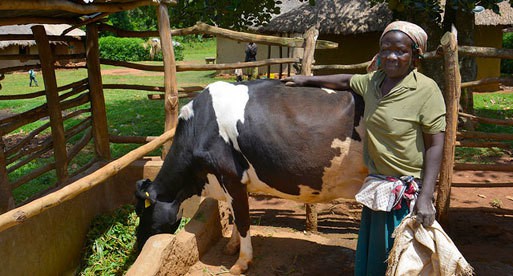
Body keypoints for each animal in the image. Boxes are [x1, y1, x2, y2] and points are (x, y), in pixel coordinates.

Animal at [135, 79, 368, 274]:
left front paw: (241, 262)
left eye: (144, 214)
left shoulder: (231, 176)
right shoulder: (233, 183)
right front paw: (231, 246)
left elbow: (243, 220)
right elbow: (235, 215)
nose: (138, 245)